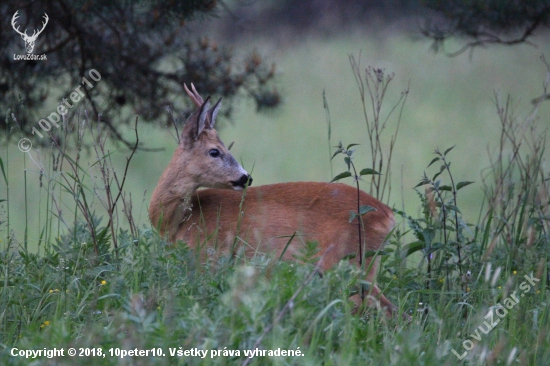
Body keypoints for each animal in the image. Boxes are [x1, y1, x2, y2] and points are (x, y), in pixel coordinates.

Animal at [151, 84, 398, 316]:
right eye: (214, 151)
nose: (246, 177)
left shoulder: (208, 258)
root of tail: (388, 215)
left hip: (347, 260)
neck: (179, 221)